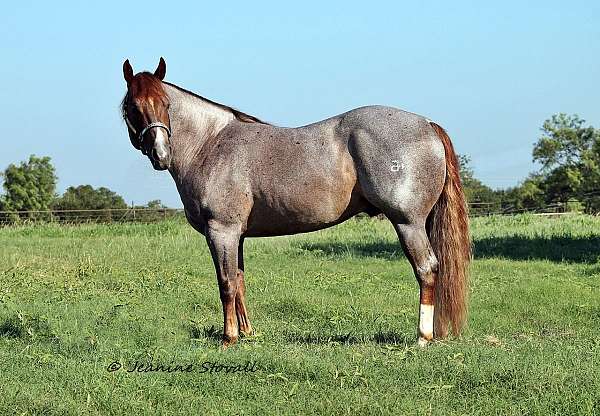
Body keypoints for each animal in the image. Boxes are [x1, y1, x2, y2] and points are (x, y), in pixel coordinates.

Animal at [119, 57, 472, 346]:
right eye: (134, 106)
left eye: (166, 104)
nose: (161, 155)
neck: (211, 143)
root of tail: (427, 124)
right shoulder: (237, 236)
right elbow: (240, 280)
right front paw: (248, 334)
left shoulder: (221, 232)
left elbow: (226, 283)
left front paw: (228, 338)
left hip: (407, 223)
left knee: (427, 269)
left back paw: (423, 337)